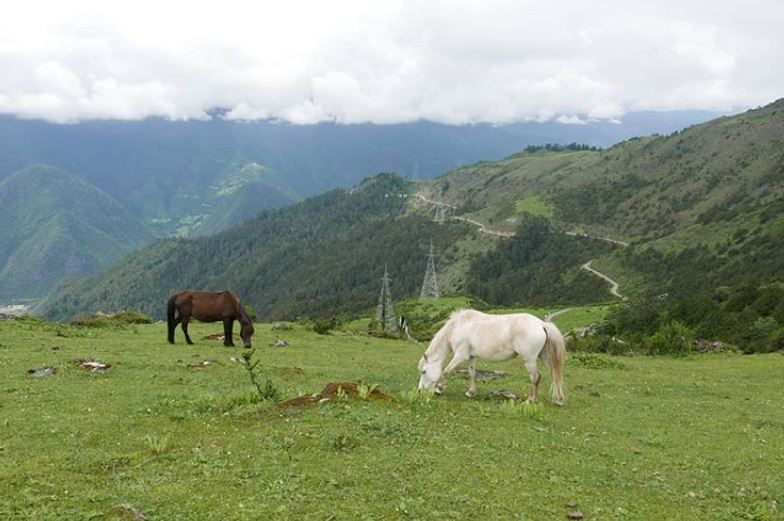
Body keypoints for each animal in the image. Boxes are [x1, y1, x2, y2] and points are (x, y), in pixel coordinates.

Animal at [416, 306, 564, 404]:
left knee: (535, 377)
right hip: (544, 357)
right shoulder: (471, 357)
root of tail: (542, 324)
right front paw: (471, 393)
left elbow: (445, 371)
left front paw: (439, 389)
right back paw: (558, 399)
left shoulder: (460, 356)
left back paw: (531, 400)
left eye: (424, 371)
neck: (458, 326)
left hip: (529, 360)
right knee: (554, 375)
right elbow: (472, 373)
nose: (419, 391)